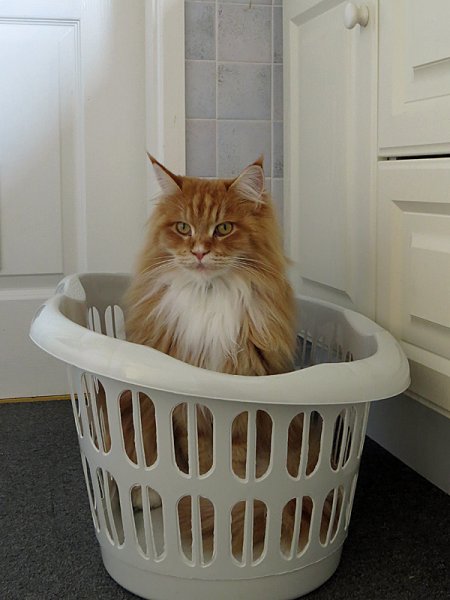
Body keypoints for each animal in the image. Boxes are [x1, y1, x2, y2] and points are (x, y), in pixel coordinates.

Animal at [107, 156, 324, 556]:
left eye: (223, 228)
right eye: (183, 227)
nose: (199, 251)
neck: (209, 294)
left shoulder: (241, 411)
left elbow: (231, 467)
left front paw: (230, 509)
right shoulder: (184, 415)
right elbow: (195, 462)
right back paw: (144, 498)